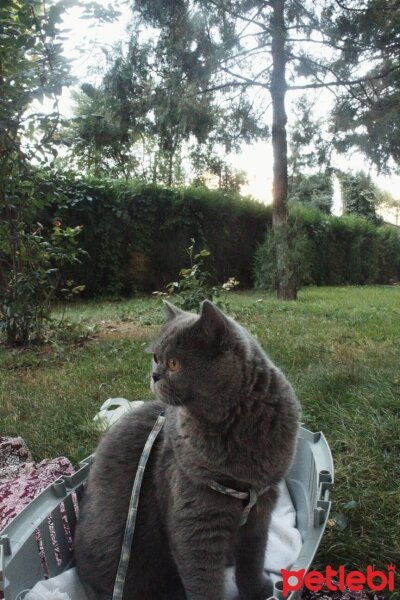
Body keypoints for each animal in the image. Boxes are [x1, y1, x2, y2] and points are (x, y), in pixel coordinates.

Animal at [74, 302, 300, 596]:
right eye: (156, 357)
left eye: (174, 363)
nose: (154, 375)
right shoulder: (195, 519)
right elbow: (204, 582)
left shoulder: (262, 508)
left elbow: (253, 560)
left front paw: (260, 591)